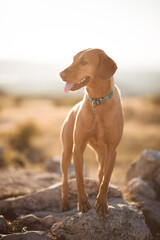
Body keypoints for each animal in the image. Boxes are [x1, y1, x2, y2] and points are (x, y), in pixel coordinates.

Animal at [59, 48, 123, 216]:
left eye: (84, 62)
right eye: (73, 60)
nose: (60, 73)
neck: (97, 102)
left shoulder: (112, 150)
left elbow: (106, 179)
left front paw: (101, 203)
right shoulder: (78, 148)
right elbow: (80, 179)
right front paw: (83, 203)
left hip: (102, 154)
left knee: (101, 173)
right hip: (66, 152)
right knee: (65, 179)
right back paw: (64, 203)